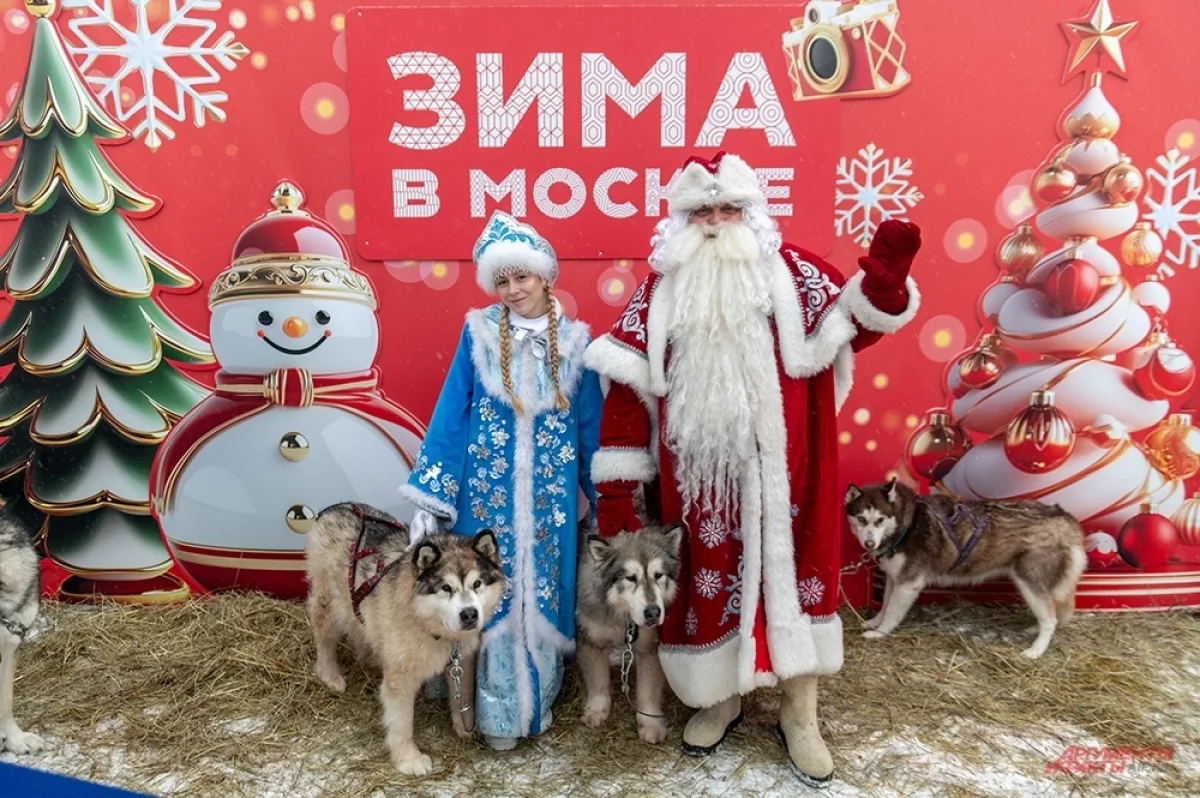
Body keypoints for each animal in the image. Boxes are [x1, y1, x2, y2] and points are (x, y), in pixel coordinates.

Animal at [307, 501, 504, 772]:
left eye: (477, 584)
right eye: (446, 588)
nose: (469, 615)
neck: (428, 625)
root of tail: (338, 506)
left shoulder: (461, 660)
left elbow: (462, 695)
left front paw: (465, 726)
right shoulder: (400, 677)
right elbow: (401, 721)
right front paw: (408, 758)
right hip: (330, 603)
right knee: (324, 636)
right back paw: (330, 674)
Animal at [576, 525, 681, 744]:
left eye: (659, 575)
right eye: (630, 578)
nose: (653, 613)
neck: (623, 618)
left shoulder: (648, 647)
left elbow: (647, 690)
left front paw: (650, 723)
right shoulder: (592, 639)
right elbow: (598, 681)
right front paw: (597, 711)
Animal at [844, 480, 1089, 657]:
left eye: (880, 520)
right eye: (861, 518)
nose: (869, 544)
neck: (907, 524)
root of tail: (1064, 516)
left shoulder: (908, 583)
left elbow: (893, 612)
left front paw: (880, 632)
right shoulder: (894, 577)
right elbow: (885, 605)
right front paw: (875, 622)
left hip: (1031, 582)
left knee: (1050, 619)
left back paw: (1036, 650)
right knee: (1051, 614)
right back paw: (1033, 630)